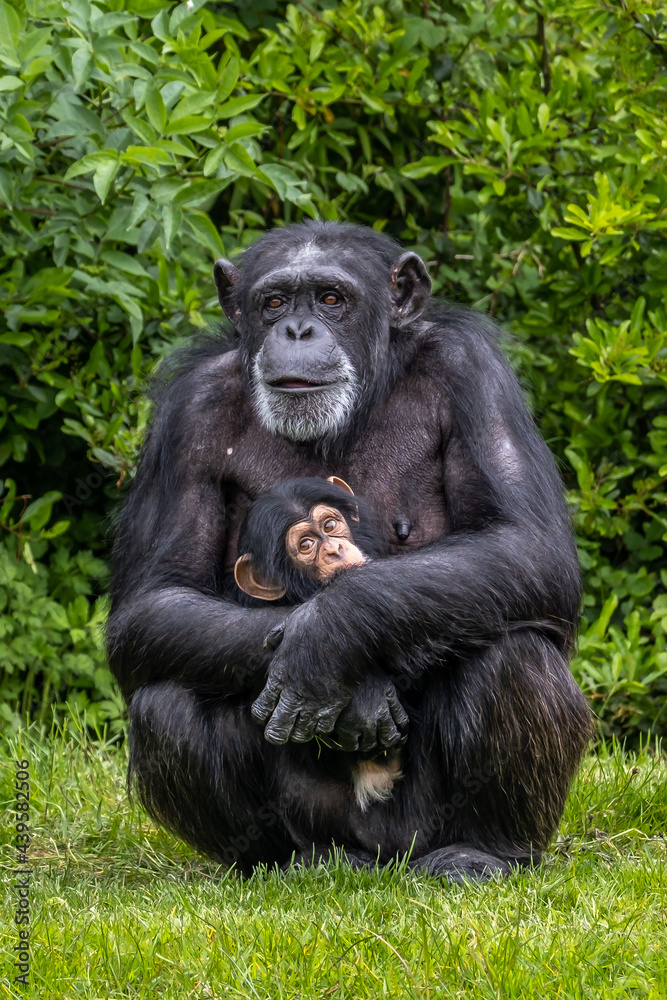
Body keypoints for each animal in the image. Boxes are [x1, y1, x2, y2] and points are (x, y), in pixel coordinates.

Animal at [107, 221, 592, 884]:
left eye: (332, 298)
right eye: (274, 301)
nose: (296, 330)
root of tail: (385, 859)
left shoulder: (474, 373)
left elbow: (527, 544)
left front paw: (324, 640)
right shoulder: (187, 415)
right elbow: (154, 599)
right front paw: (348, 678)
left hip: (423, 827)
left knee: (516, 655)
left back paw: (484, 851)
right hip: (323, 822)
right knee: (166, 702)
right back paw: (286, 862)